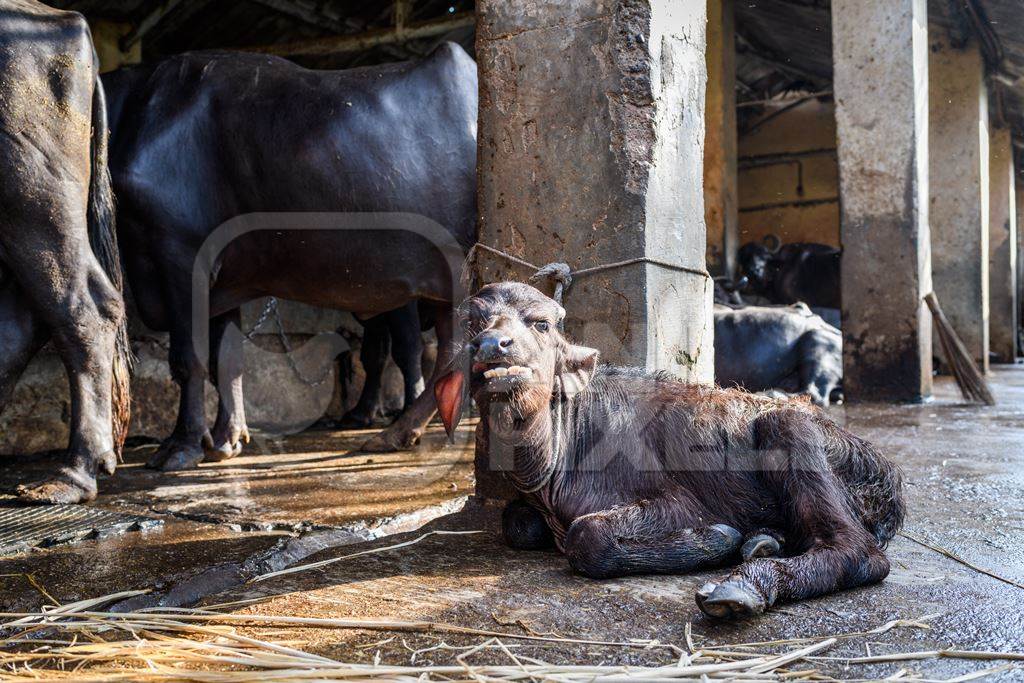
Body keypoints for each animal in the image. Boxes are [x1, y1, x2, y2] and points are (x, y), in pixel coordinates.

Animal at [104, 42, 475, 471]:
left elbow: (189, 357)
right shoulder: (221, 282)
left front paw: (181, 446)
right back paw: (399, 431)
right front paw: (226, 438)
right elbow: (227, 359)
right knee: (451, 351)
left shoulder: (179, 255)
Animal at [438, 282, 905, 618]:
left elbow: (587, 536)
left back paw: (743, 584)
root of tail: (888, 478)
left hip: (792, 428)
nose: (492, 345)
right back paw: (765, 541)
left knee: (860, 552)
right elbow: (516, 522)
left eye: (541, 325)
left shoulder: (679, 503)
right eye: (473, 323)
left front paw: (717, 538)